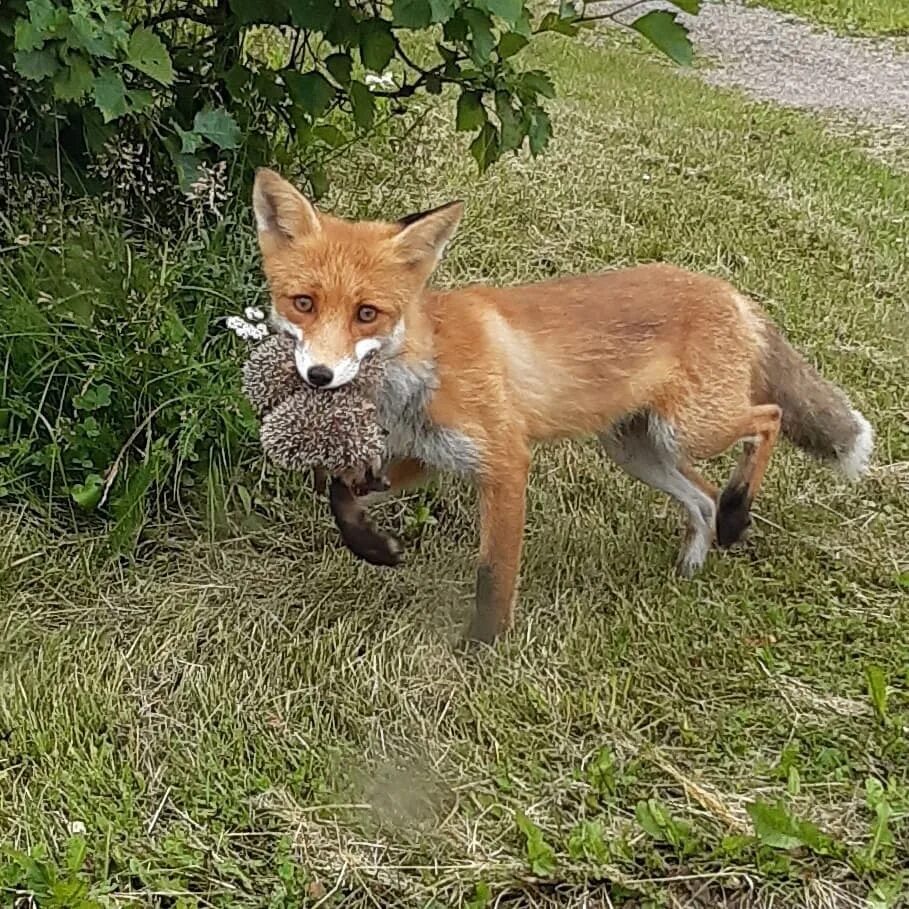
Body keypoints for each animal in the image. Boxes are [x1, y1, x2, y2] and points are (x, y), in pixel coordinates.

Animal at [250, 167, 872, 640]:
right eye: (303, 303)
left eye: (367, 314)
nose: (319, 376)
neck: (422, 372)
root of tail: (734, 293)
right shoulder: (424, 455)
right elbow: (340, 497)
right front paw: (375, 549)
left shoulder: (504, 463)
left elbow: (493, 577)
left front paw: (481, 656)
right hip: (636, 449)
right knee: (701, 496)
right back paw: (693, 565)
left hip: (690, 428)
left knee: (768, 420)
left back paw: (738, 514)